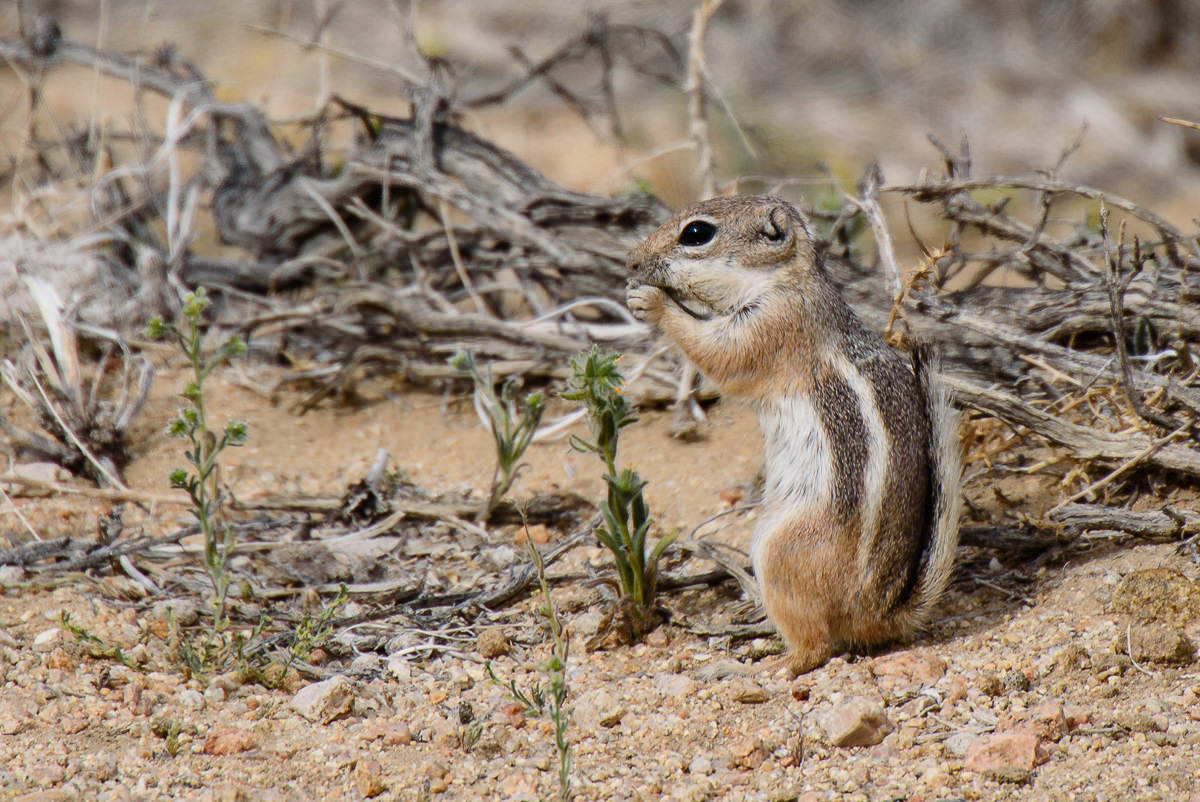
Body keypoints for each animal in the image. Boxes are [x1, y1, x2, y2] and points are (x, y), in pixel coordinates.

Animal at [624, 195, 960, 677]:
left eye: (696, 233)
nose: (631, 261)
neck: (787, 278)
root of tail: (877, 614)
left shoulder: (772, 324)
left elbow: (720, 355)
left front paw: (651, 301)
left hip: (779, 552)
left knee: (816, 647)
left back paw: (756, 665)